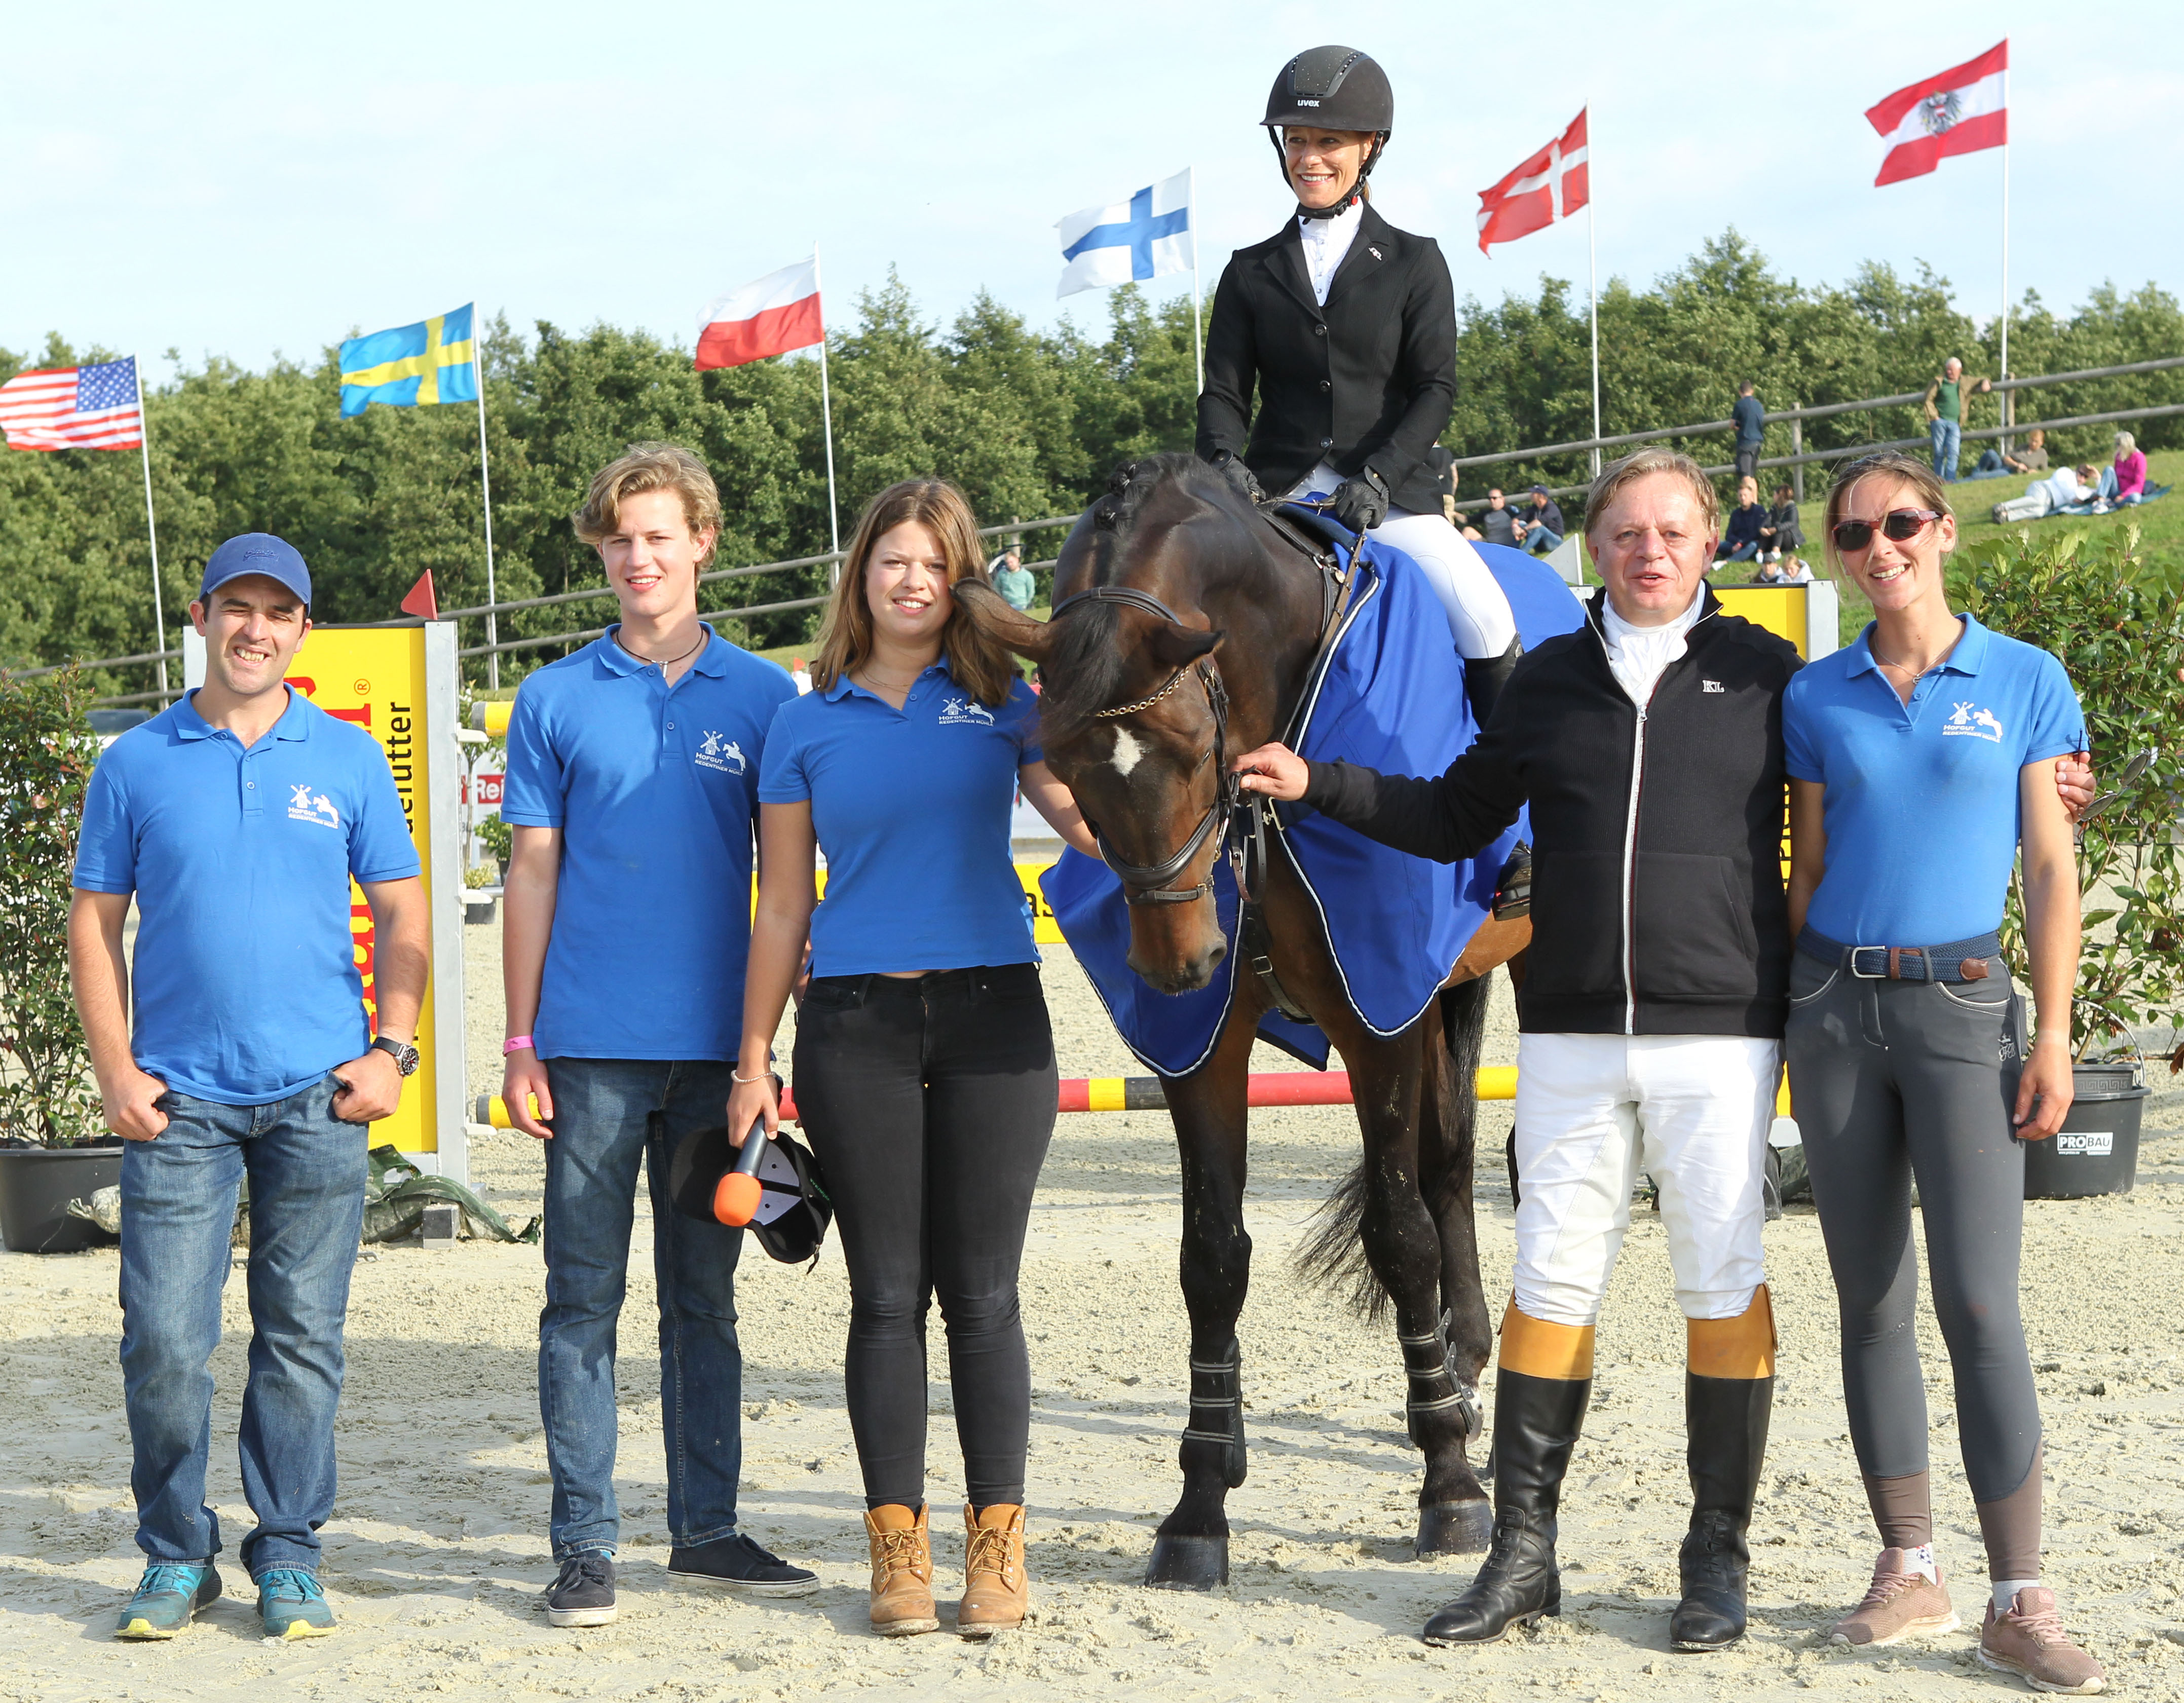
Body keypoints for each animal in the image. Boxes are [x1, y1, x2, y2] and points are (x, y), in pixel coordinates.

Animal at [965, 451, 1529, 1580]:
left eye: (1190, 747)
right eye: (1063, 764)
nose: (1180, 964)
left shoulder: (1378, 1017)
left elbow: (1397, 1230)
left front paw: (1447, 1487)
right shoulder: (1207, 1047)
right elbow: (1212, 1256)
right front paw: (1198, 1504)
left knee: (1450, 1171)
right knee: (1449, 1164)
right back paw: (1462, 1363)